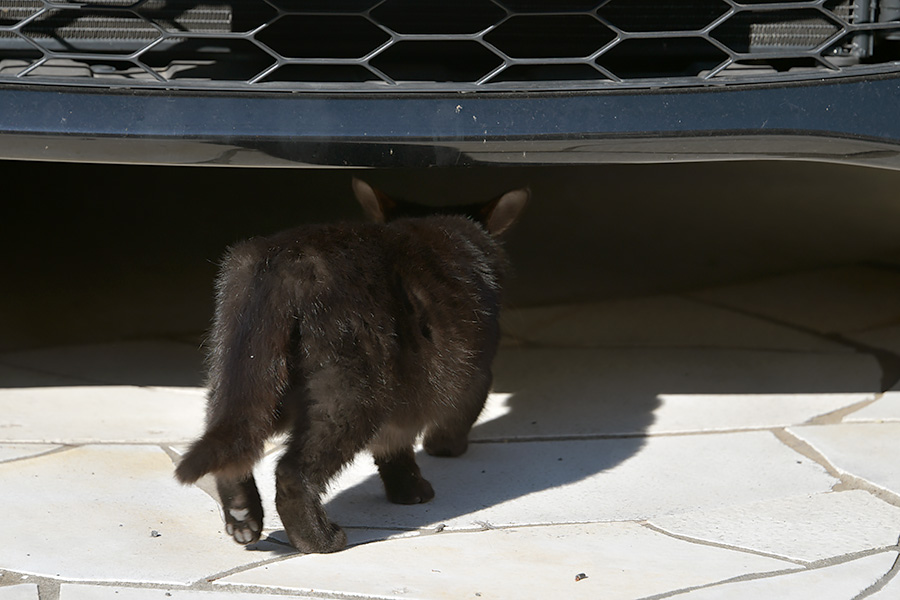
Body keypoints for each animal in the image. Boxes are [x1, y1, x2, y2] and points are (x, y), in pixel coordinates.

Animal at [176, 177, 528, 552]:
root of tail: (287, 261)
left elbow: (393, 446)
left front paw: (407, 489)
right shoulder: (475, 375)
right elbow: (448, 422)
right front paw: (441, 454)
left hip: (242, 374)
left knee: (233, 439)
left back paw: (243, 516)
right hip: (353, 393)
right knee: (291, 472)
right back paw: (319, 539)